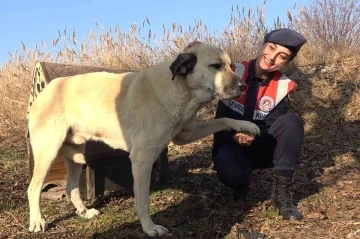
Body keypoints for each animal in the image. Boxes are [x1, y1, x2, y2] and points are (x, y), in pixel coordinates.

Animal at [26, 42, 260, 235]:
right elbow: (142, 202)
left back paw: (84, 212)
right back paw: (37, 221)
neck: (180, 89)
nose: (243, 86)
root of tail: (45, 90)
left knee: (71, 187)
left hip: (76, 155)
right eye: (216, 66)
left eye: (231, 66)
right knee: (34, 188)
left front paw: (247, 126)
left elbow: (223, 120)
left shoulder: (186, 134)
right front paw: (149, 228)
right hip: (48, 152)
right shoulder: (142, 160)